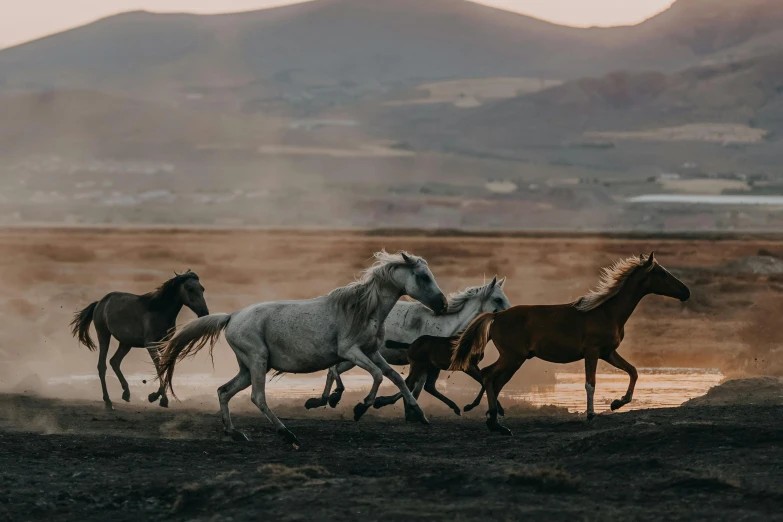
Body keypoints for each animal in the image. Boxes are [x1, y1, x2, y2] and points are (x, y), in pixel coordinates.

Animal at [71, 270, 210, 408]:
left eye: (202, 289)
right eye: (189, 289)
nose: (204, 313)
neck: (160, 311)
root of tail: (100, 303)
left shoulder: (164, 344)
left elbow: (165, 365)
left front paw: (155, 397)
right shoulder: (151, 345)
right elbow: (159, 366)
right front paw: (161, 399)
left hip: (126, 343)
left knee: (114, 361)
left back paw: (126, 393)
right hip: (104, 334)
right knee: (102, 365)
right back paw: (108, 401)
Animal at [158, 250, 448, 444]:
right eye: (423, 276)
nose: (443, 304)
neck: (363, 309)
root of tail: (231, 316)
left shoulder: (372, 351)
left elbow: (395, 377)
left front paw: (418, 413)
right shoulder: (350, 352)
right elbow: (377, 376)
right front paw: (361, 407)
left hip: (247, 368)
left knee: (224, 391)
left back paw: (235, 432)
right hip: (257, 362)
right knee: (257, 397)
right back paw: (286, 433)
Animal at [374, 336, 508, 416]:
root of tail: (411, 344)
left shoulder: (474, 366)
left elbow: (484, 381)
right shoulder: (468, 367)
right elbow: (483, 381)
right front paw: (471, 406)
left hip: (432, 367)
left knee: (427, 386)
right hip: (419, 365)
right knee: (409, 383)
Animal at [450, 252, 688, 434]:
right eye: (661, 273)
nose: (686, 292)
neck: (607, 312)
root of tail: (496, 316)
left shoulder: (608, 353)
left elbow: (633, 371)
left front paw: (617, 402)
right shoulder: (592, 352)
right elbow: (591, 383)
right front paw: (591, 414)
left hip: (515, 359)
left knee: (495, 382)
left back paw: (495, 423)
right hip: (512, 357)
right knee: (488, 374)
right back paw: (492, 421)